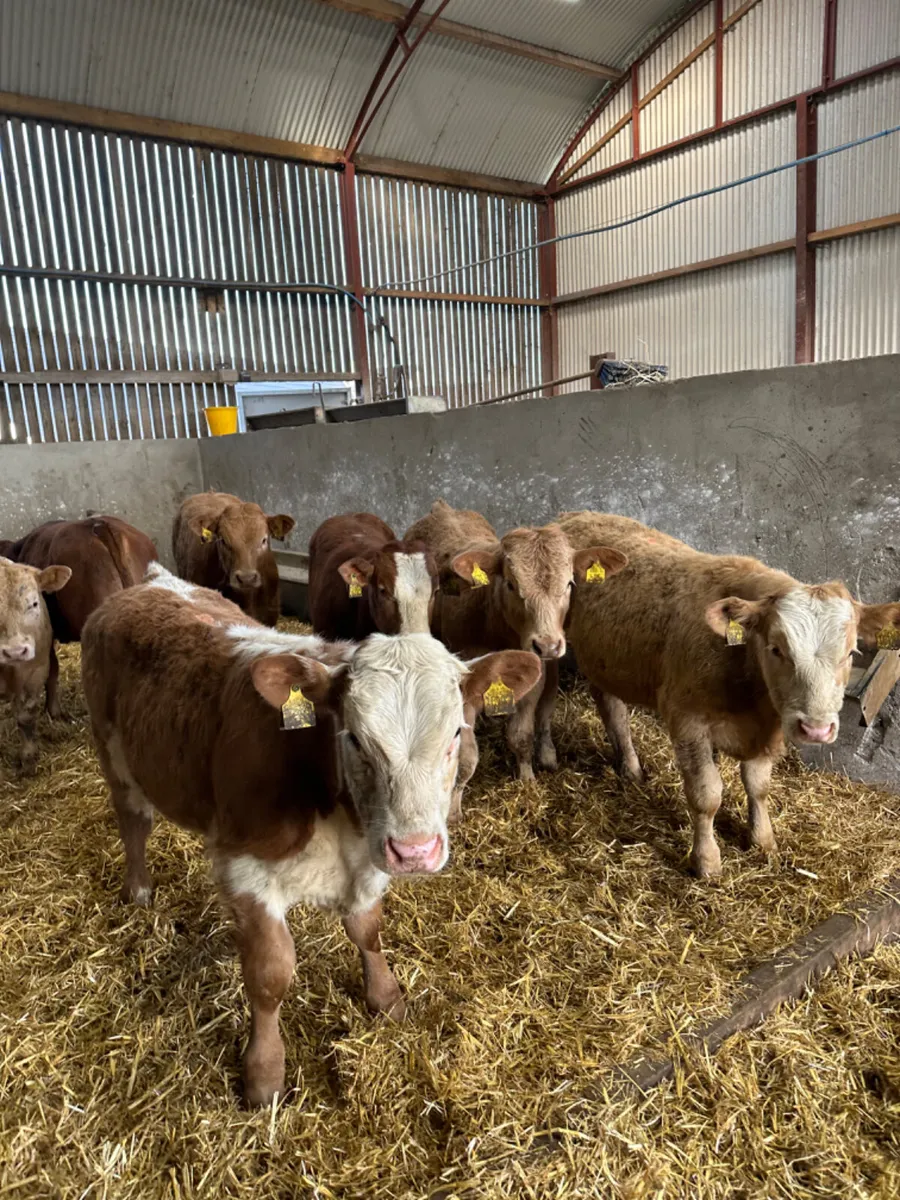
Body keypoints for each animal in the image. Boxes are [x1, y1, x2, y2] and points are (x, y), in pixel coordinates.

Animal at [81, 571, 540, 1106]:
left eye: (455, 734)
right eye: (356, 739)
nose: (414, 851)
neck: (338, 819)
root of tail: (153, 582)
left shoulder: (368, 859)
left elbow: (367, 930)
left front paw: (386, 997)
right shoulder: (247, 871)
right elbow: (270, 976)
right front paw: (264, 1074)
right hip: (114, 753)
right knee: (133, 821)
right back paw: (138, 890)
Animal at [405, 500, 626, 781]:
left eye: (569, 583)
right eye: (510, 584)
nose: (547, 645)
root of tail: (442, 508)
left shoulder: (532, 672)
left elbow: (521, 734)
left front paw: (527, 779)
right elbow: (465, 754)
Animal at [559, 510, 900, 878]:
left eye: (851, 652)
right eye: (776, 649)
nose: (817, 729)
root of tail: (575, 515)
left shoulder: (767, 730)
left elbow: (758, 786)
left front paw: (763, 841)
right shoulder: (687, 721)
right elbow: (706, 795)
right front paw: (707, 861)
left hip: (606, 659)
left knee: (612, 707)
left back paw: (630, 768)